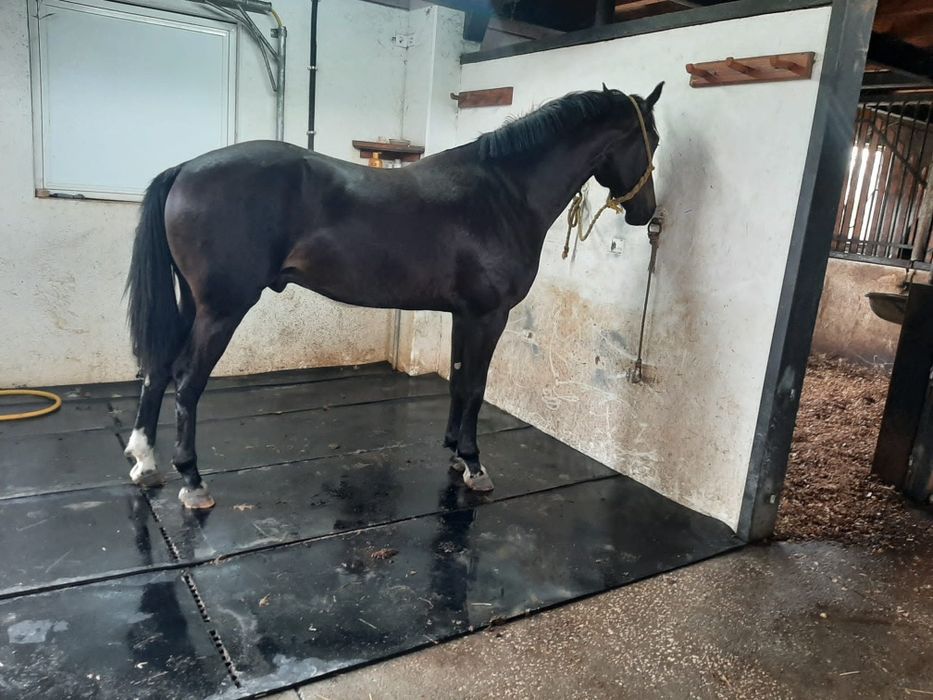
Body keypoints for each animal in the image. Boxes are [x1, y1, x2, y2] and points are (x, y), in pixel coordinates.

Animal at [123, 82, 663, 509]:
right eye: (652, 139)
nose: (645, 213)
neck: (504, 193)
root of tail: (185, 168)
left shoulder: (464, 315)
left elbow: (459, 381)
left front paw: (454, 453)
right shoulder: (489, 315)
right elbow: (475, 386)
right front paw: (474, 465)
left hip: (193, 305)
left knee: (157, 370)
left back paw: (146, 462)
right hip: (221, 310)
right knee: (186, 381)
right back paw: (193, 481)